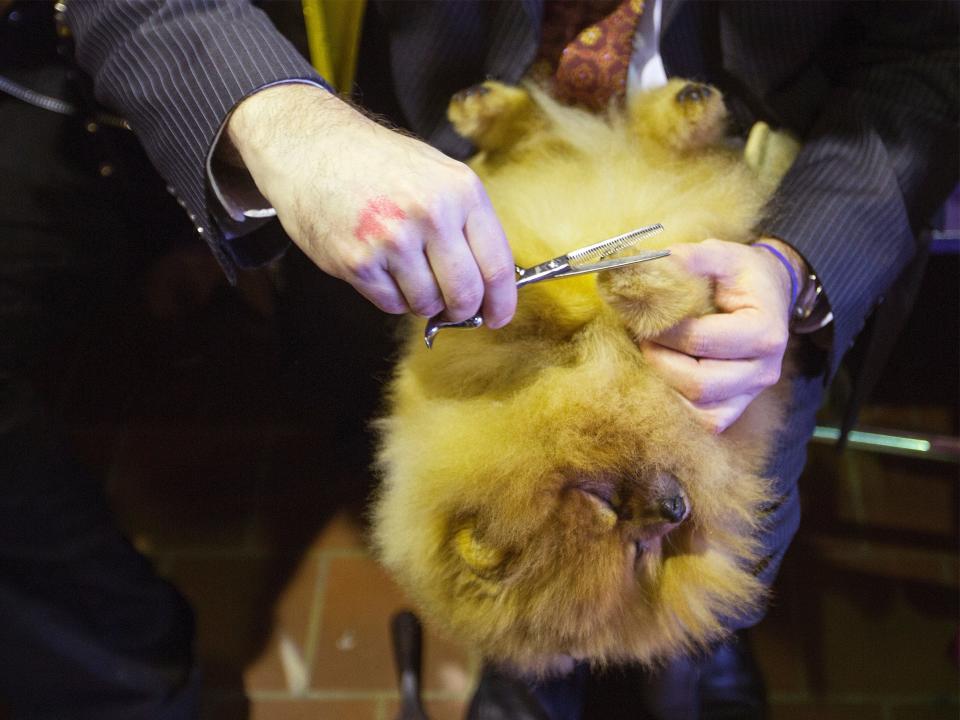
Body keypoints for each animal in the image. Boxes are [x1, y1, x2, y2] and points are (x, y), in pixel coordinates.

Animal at [372, 79, 800, 676]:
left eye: (644, 543)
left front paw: (631, 275)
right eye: (627, 531)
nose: (676, 509)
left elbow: (589, 298)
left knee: (599, 132)